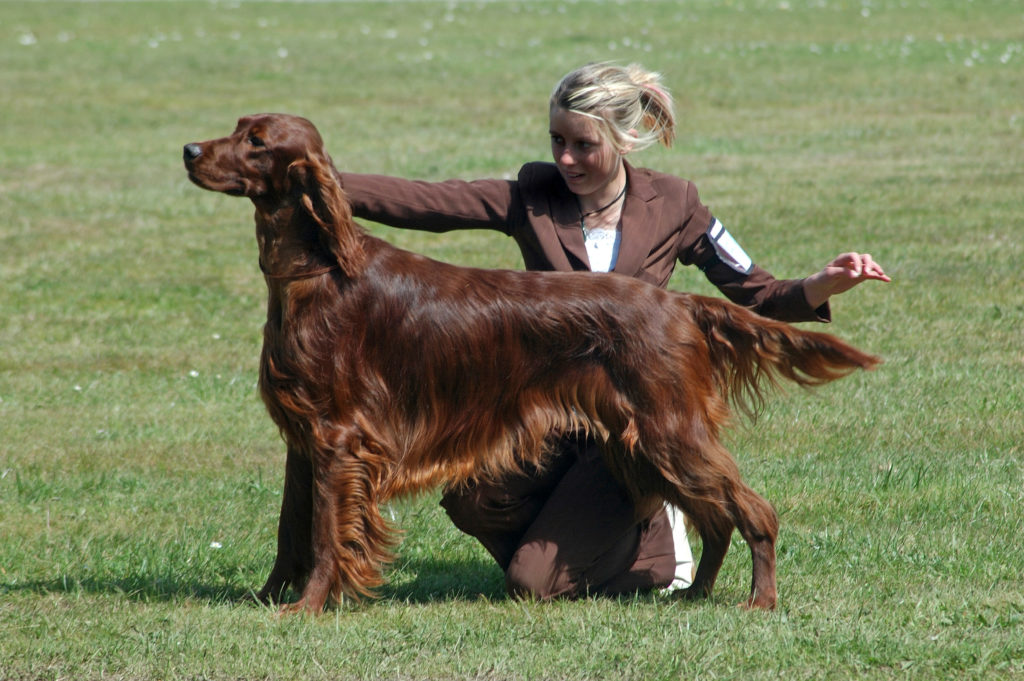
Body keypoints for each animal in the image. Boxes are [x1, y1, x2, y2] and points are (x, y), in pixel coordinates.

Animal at [184, 114, 880, 614]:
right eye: (238, 126)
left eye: (256, 141)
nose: (189, 149)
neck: (317, 270)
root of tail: (677, 300)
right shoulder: (303, 437)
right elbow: (290, 530)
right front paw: (268, 597)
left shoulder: (339, 439)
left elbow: (326, 534)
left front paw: (305, 608)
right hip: (648, 444)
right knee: (713, 517)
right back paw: (698, 594)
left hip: (668, 430)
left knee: (753, 511)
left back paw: (759, 601)